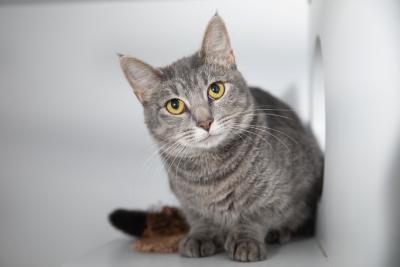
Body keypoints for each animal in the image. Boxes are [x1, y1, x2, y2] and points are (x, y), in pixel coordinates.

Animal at [115, 13, 322, 262]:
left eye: (215, 89)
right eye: (174, 105)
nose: (205, 122)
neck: (212, 175)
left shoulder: (287, 192)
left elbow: (257, 213)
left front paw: (246, 239)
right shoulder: (187, 203)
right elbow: (200, 218)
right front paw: (201, 235)